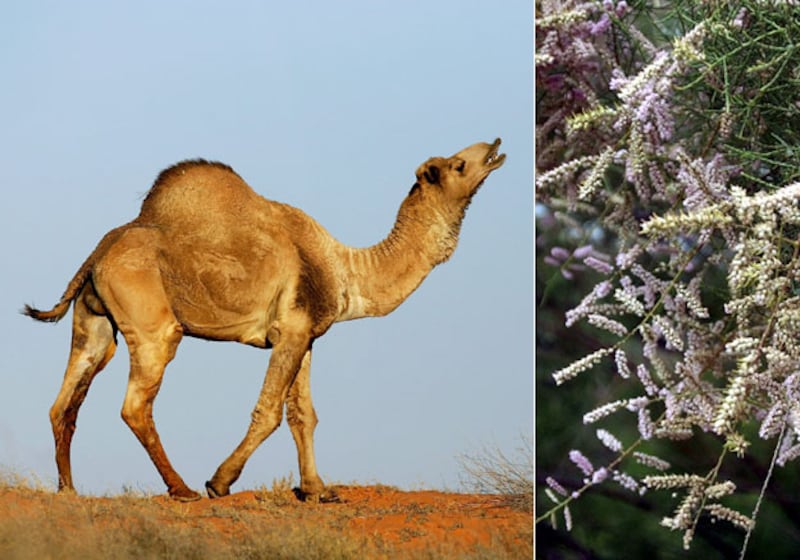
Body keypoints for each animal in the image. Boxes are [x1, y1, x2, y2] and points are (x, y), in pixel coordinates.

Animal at [23, 138, 506, 500]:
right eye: (458, 164)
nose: (495, 146)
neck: (345, 269)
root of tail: (98, 253)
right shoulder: (290, 330)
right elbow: (269, 411)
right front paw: (220, 482)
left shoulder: (305, 335)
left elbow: (304, 415)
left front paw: (317, 490)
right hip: (153, 326)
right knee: (135, 405)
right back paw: (183, 489)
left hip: (93, 322)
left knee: (65, 401)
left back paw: (69, 490)